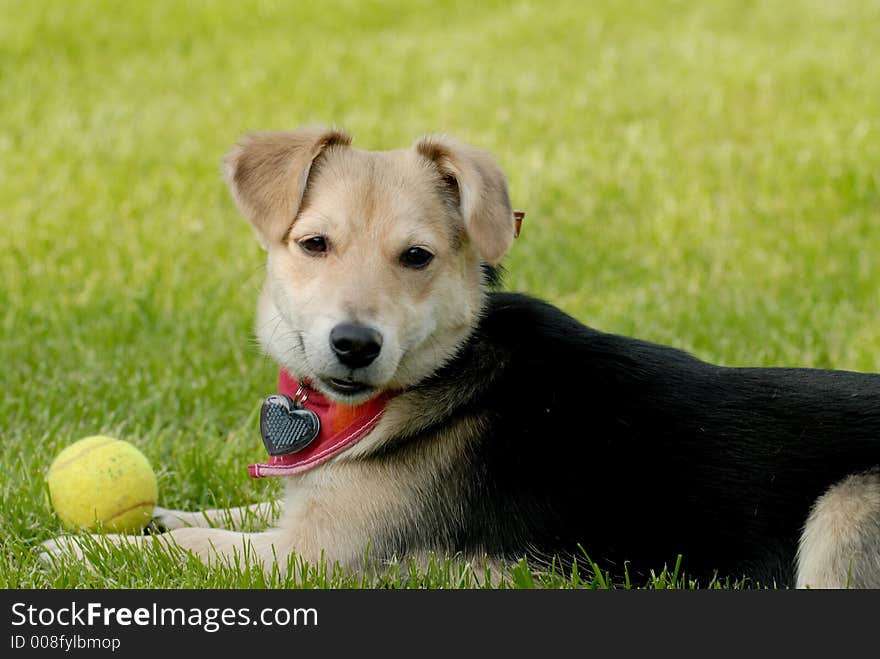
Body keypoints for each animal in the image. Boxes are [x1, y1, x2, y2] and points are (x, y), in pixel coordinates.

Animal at [41, 127, 880, 588]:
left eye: (417, 257)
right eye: (314, 244)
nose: (355, 343)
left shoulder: (312, 555)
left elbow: (192, 550)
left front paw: (81, 552)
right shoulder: (311, 506)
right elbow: (218, 512)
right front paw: (146, 519)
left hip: (844, 512)